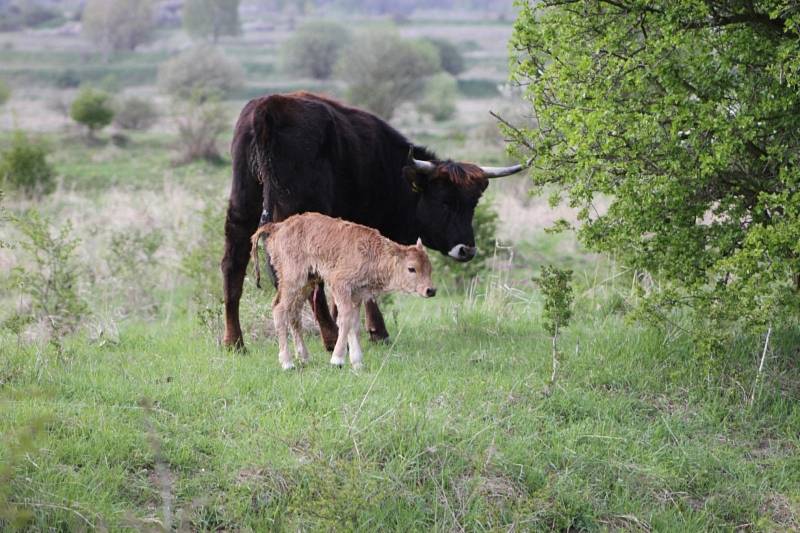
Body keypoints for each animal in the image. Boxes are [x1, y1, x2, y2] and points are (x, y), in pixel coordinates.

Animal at [252, 212, 434, 370]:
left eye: (430, 268)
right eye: (411, 268)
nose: (430, 290)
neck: (372, 253)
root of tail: (278, 226)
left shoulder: (357, 295)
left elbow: (354, 323)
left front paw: (358, 363)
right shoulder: (340, 285)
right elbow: (345, 319)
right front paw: (337, 360)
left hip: (307, 283)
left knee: (294, 313)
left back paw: (304, 357)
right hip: (293, 280)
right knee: (280, 310)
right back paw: (287, 363)